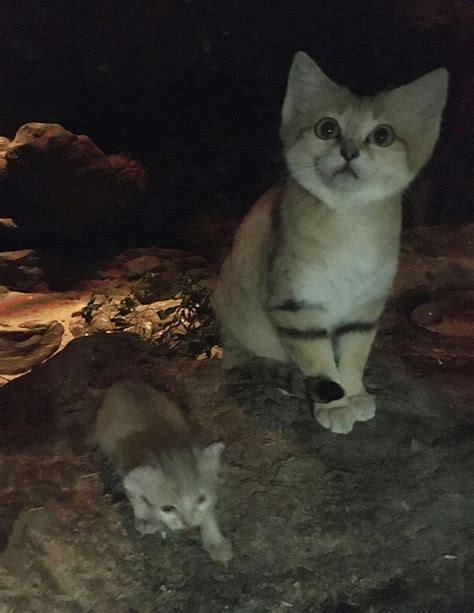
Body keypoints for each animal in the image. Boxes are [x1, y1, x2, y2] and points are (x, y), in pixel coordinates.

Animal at [95, 380, 233, 560]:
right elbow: (137, 498)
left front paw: (216, 542)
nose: (189, 526)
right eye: (167, 508)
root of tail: (123, 382)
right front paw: (145, 519)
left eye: (201, 499)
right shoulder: (127, 473)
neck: (165, 447)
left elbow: (208, 514)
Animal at [214, 51, 448, 436]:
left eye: (382, 136)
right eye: (327, 129)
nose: (349, 151)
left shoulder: (365, 307)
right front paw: (336, 405)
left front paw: (353, 394)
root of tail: (225, 347)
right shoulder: (296, 306)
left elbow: (353, 356)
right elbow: (319, 361)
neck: (348, 225)